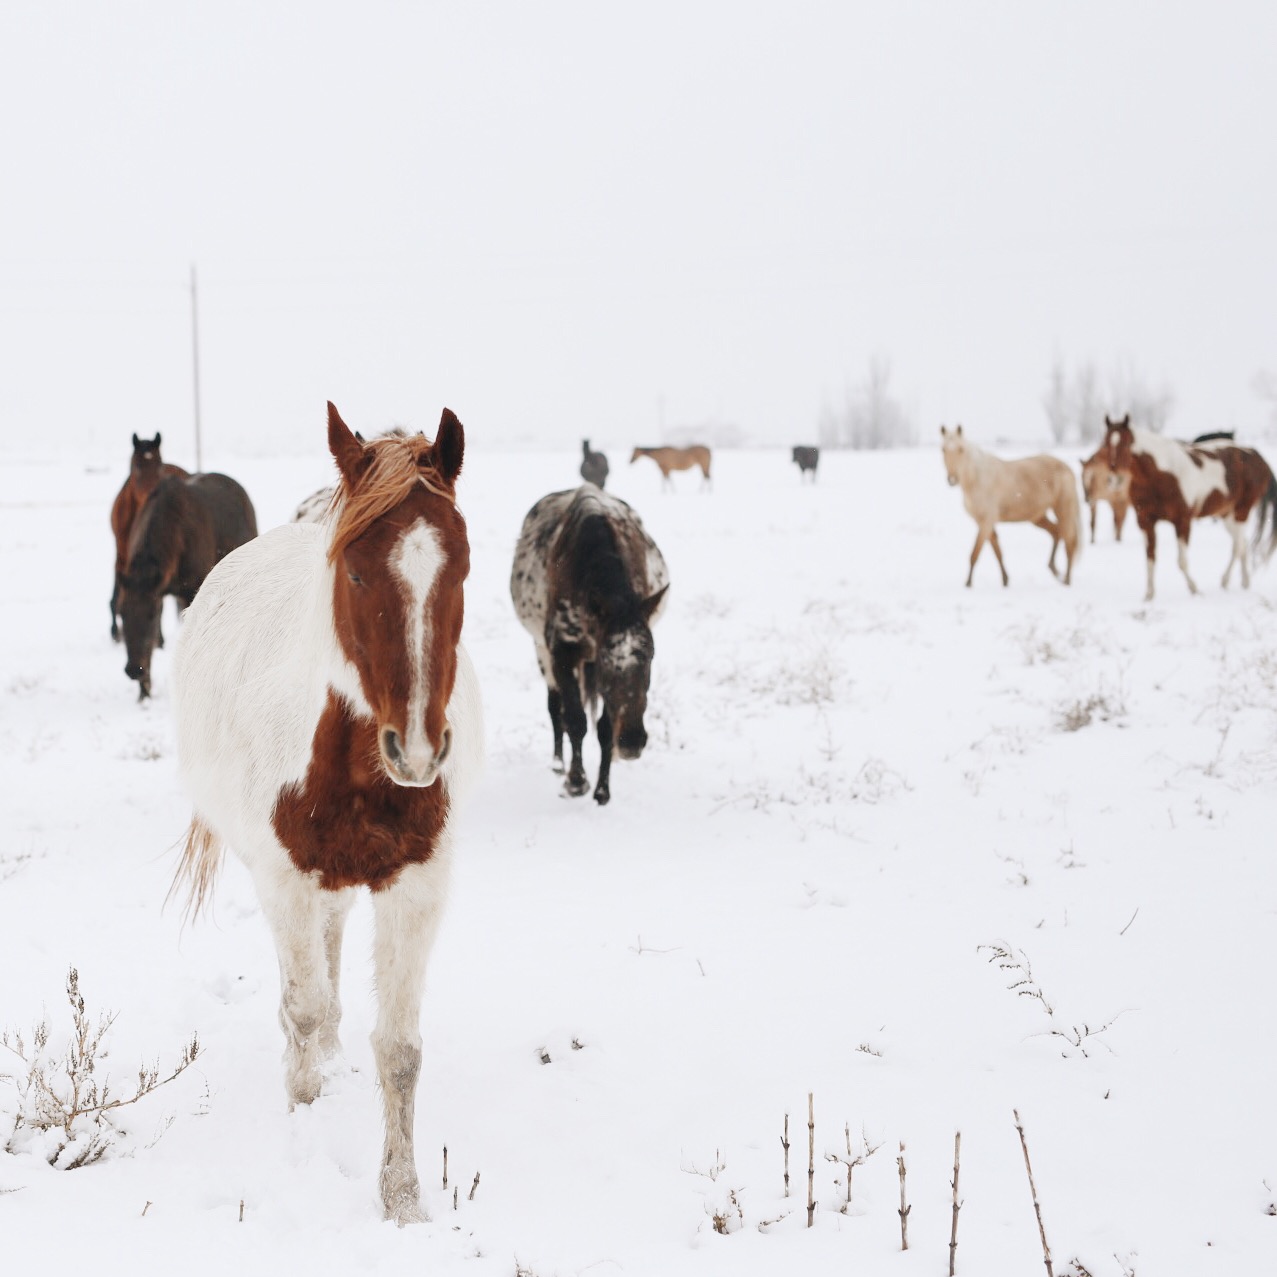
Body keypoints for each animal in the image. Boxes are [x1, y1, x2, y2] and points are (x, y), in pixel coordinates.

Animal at [109, 433, 189, 640]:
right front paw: (116, 631)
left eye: (159, 466)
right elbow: (117, 596)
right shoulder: (121, 556)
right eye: (136, 465)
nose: (152, 495)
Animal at [169, 404, 482, 1227]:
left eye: (461, 566)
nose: (416, 748)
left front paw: (403, 1201)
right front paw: (304, 1129)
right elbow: (304, 1010)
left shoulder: (417, 888)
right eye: (356, 570)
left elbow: (399, 1048)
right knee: (302, 996)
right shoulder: (284, 880)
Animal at [510, 485, 668, 804]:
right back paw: (559, 764)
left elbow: (604, 727)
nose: (632, 742)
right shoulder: (561, 654)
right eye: (610, 660)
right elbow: (574, 719)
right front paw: (575, 781)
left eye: (651, 656)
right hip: (542, 651)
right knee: (555, 707)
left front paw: (602, 790)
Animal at [939, 424, 1080, 587]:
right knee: (1057, 532)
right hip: (1037, 517)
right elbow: (997, 551)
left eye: (961, 449)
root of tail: (1067, 468)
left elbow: (975, 553)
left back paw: (1066, 579)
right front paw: (1005, 580)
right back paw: (1054, 570)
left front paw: (968, 584)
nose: (952, 479)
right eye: (943, 449)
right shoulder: (983, 522)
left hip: (1063, 509)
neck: (978, 479)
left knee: (1069, 541)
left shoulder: (986, 521)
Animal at [1102, 414, 1277, 600]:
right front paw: (1149, 595)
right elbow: (1150, 558)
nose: (1115, 479)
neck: (1160, 474)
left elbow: (1182, 562)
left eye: (1127, 443)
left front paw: (1194, 589)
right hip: (1227, 515)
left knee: (1237, 547)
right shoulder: (1145, 521)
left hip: (1241, 511)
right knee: (1242, 544)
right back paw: (1245, 582)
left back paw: (1226, 580)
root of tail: (1257, 456)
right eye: (1105, 443)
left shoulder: (1183, 521)